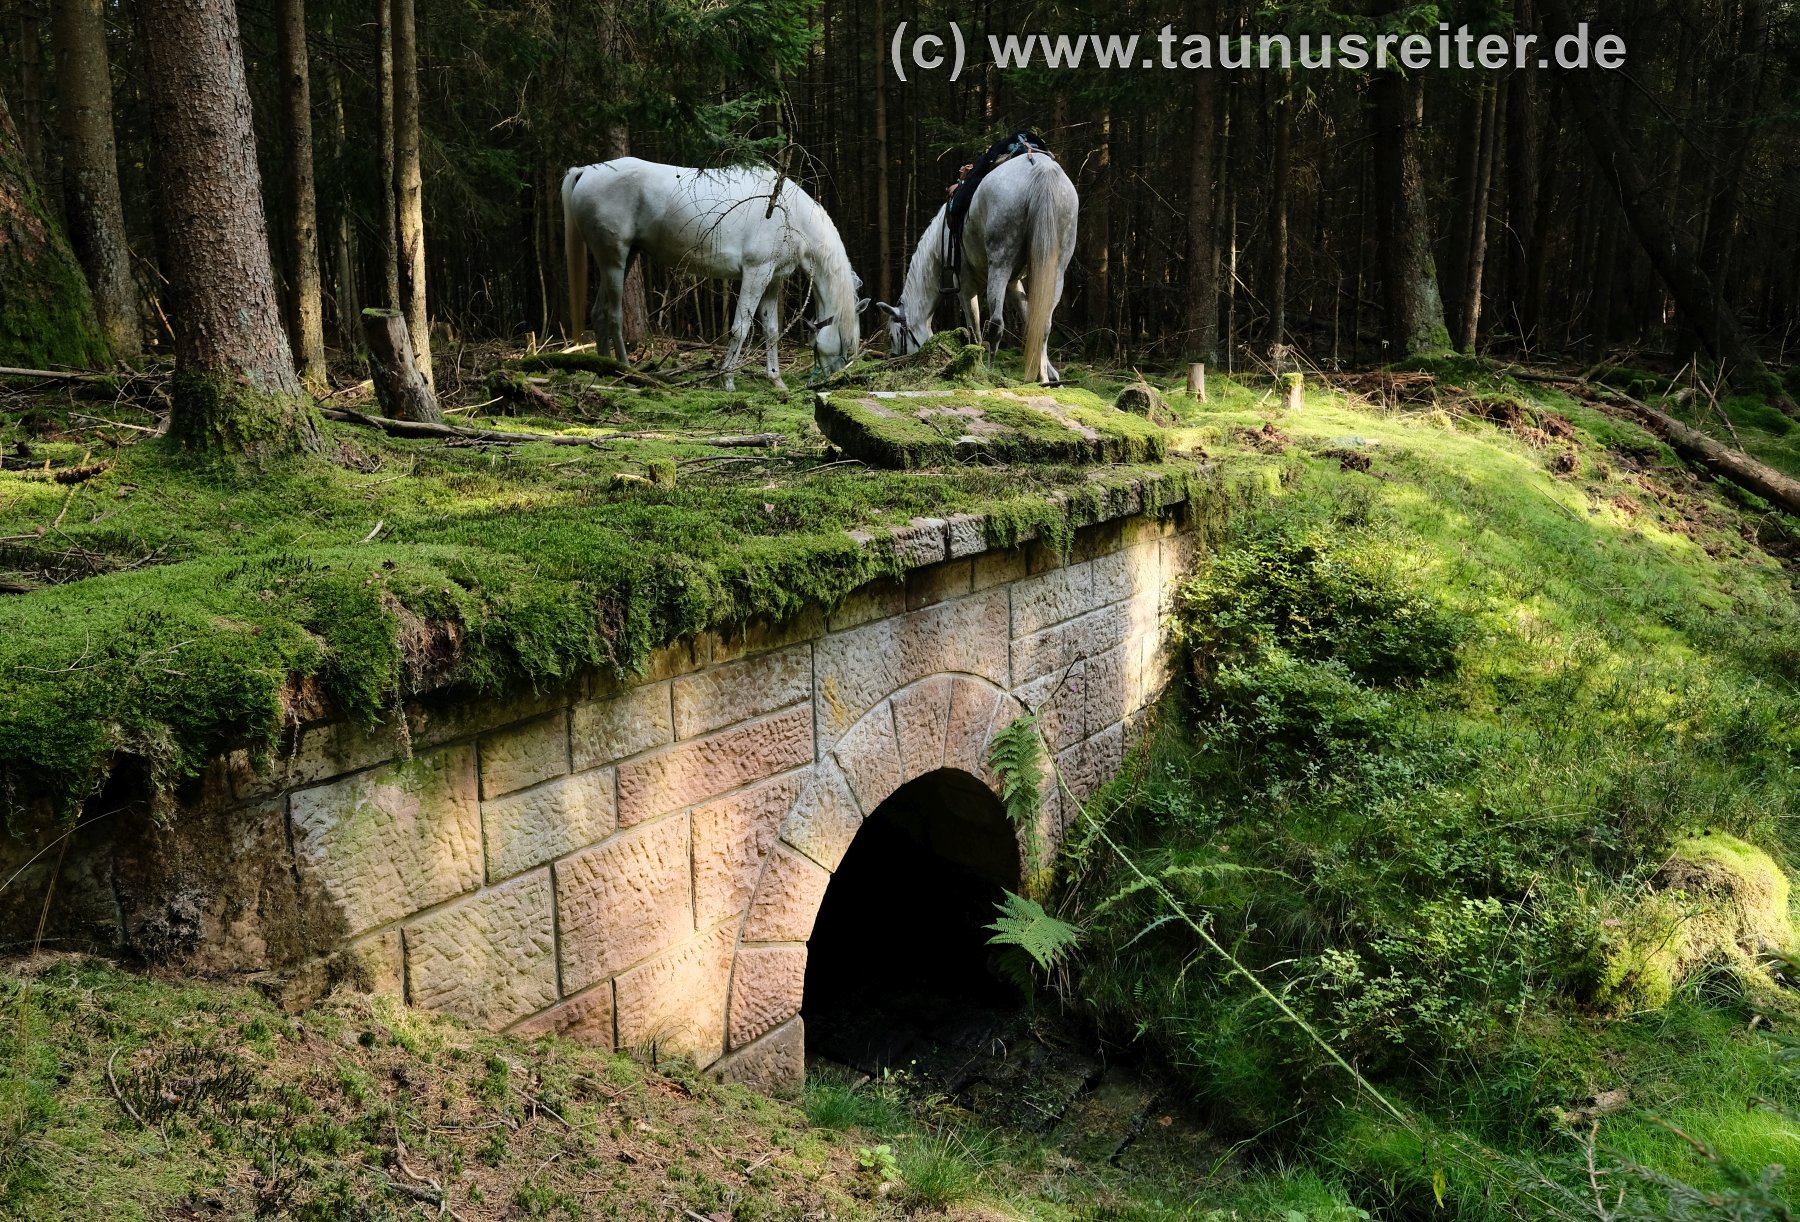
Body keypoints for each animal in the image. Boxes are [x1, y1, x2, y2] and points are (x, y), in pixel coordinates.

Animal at [565, 155, 867, 388]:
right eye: (847, 343)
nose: (835, 379)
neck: (789, 213)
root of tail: (586, 170)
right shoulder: (755, 274)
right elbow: (740, 328)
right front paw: (727, 379)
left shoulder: (772, 280)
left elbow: (771, 330)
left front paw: (776, 380)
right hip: (614, 259)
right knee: (614, 315)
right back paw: (627, 371)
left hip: (624, 259)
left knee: (599, 313)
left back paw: (604, 369)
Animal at [874, 152, 1072, 381]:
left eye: (894, 334)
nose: (894, 360)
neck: (939, 245)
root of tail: (1040, 168)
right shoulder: (1014, 284)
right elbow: (1031, 319)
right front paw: (1047, 375)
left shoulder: (965, 287)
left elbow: (974, 330)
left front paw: (975, 366)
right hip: (1056, 270)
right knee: (1045, 323)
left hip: (1000, 265)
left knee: (995, 325)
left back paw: (991, 371)